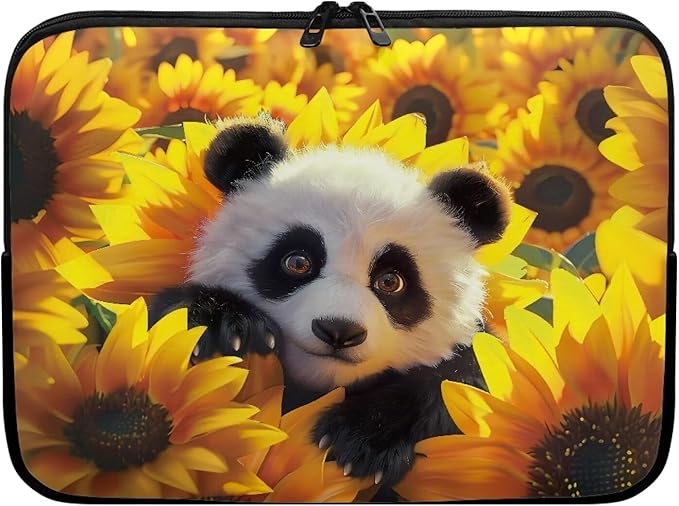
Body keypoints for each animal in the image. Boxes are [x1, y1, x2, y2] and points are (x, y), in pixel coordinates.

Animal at [149, 114, 511, 487]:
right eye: (297, 262)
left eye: (390, 281)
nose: (339, 330)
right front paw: (225, 326)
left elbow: (460, 382)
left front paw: (360, 440)